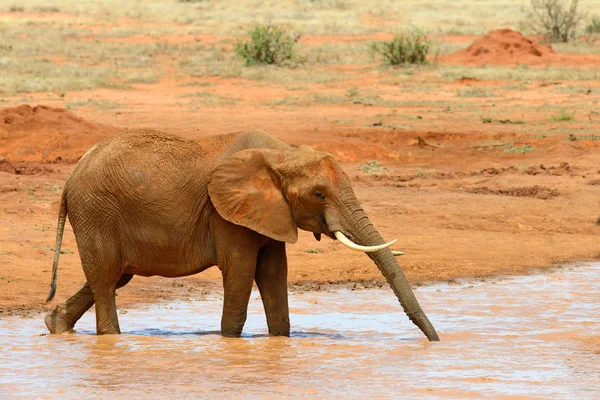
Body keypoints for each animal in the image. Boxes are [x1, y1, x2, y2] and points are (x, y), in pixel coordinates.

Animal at [41, 129, 436, 340]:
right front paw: (229, 342)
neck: (282, 154)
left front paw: (279, 342)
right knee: (107, 280)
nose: (436, 340)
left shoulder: (271, 213)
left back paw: (55, 325)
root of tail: (70, 178)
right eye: (320, 195)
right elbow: (241, 271)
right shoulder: (226, 214)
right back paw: (109, 339)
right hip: (96, 212)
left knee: (113, 277)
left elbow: (274, 274)